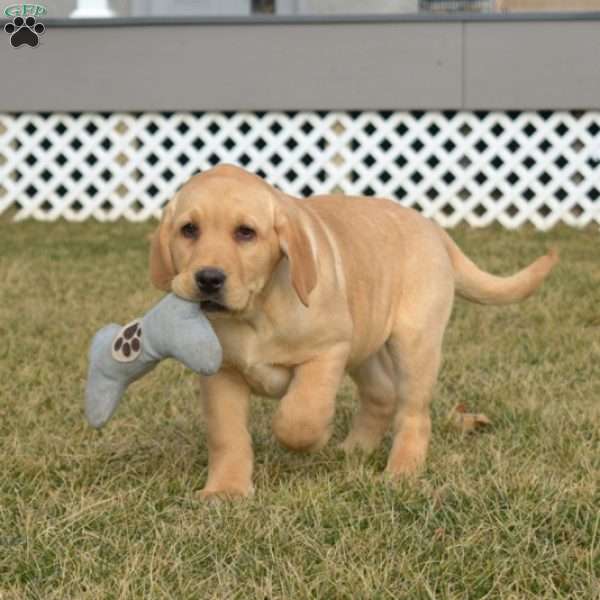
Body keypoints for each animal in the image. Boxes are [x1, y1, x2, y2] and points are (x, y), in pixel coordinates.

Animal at [150, 164, 556, 496]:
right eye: (189, 230)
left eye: (245, 233)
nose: (208, 279)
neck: (255, 312)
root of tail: (432, 227)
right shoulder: (222, 373)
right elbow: (228, 436)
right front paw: (226, 490)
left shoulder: (329, 349)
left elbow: (301, 414)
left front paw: (310, 438)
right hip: (367, 342)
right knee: (382, 394)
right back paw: (355, 449)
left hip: (414, 343)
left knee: (413, 413)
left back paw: (402, 471)